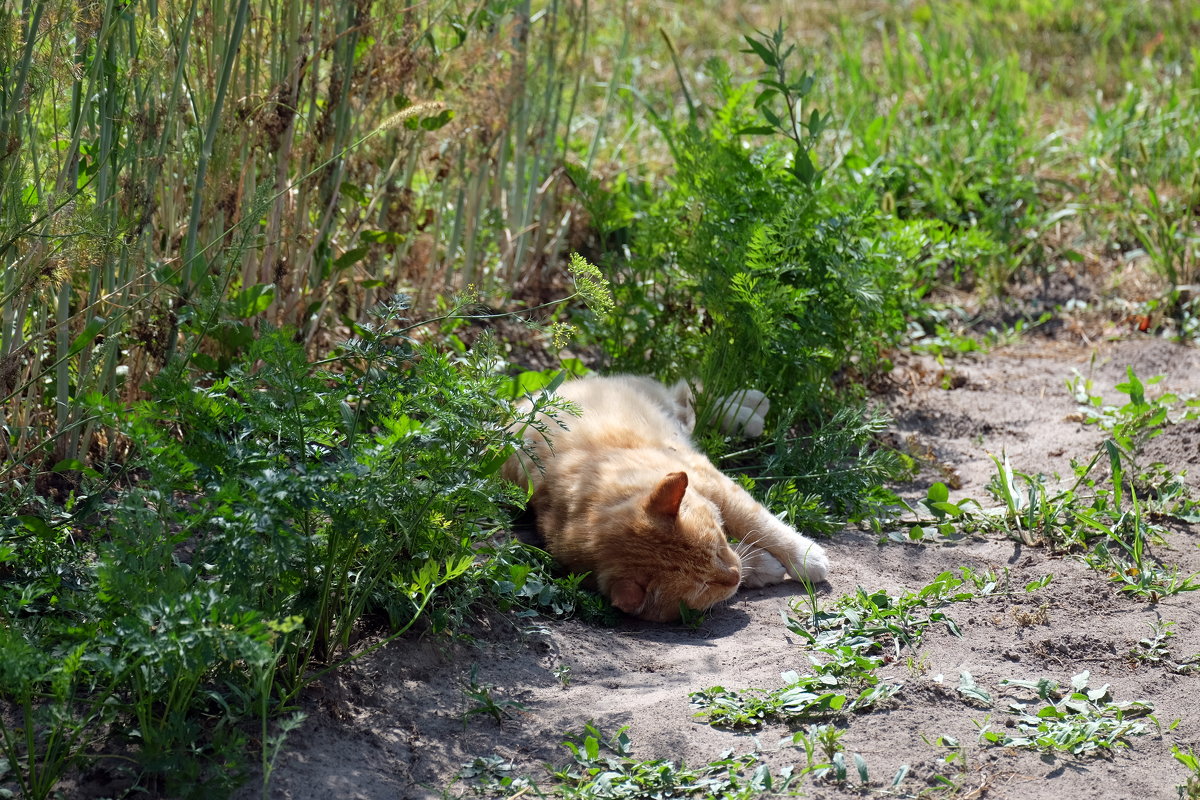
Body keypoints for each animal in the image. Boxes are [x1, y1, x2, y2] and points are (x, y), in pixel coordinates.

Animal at [501, 371, 830, 623]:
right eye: (705, 587)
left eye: (717, 548)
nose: (735, 576)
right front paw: (760, 567)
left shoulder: (713, 483)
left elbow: (759, 523)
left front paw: (805, 556)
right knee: (690, 402)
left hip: (658, 400)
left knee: (694, 395)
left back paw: (748, 407)